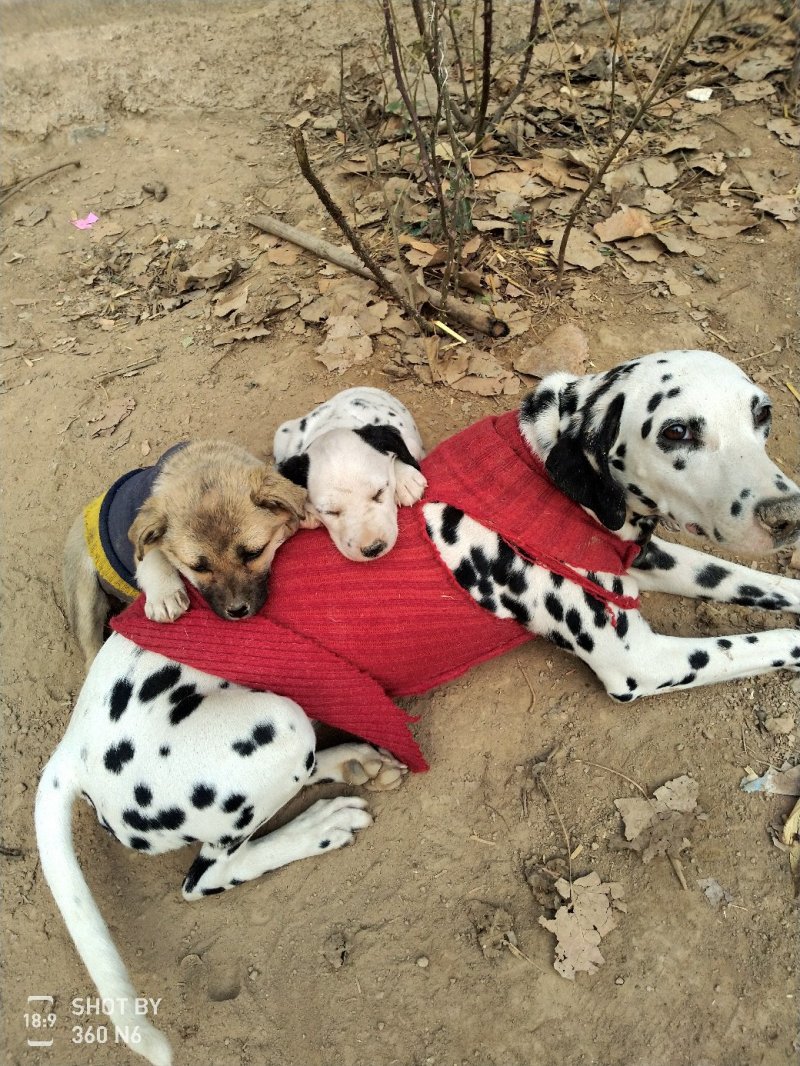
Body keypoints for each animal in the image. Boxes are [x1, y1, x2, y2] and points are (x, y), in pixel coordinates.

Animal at [64, 439, 313, 665]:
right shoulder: (144, 533)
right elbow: (152, 554)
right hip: (84, 596)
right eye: (198, 567)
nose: (237, 611)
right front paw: (164, 594)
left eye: (254, 553)